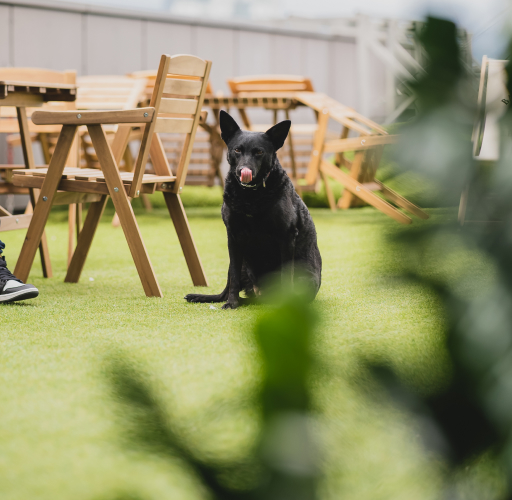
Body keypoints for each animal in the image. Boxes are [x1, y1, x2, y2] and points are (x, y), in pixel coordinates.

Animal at [183, 111, 320, 308]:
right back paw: (203, 297)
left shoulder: (286, 236)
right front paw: (232, 303)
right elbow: (233, 279)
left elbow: (286, 276)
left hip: (305, 277)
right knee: (225, 290)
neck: (250, 196)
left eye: (259, 152)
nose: (243, 170)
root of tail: (261, 296)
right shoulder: (233, 238)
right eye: (237, 150)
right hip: (240, 264)